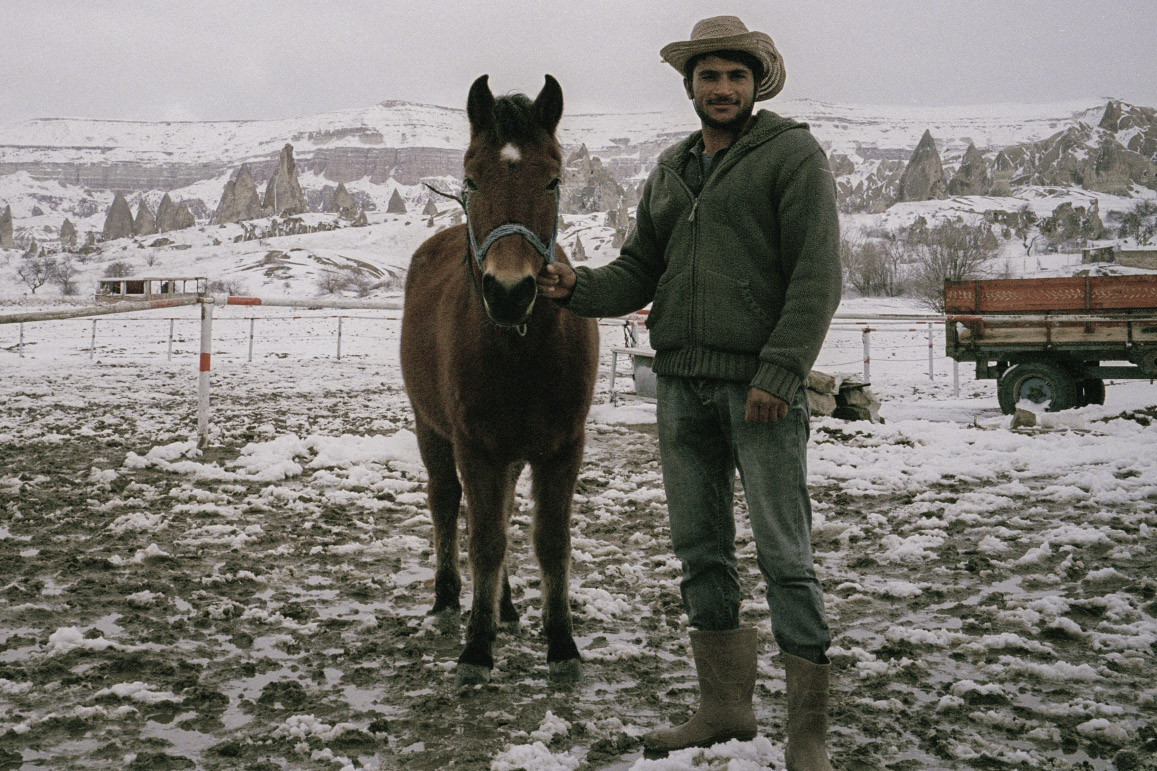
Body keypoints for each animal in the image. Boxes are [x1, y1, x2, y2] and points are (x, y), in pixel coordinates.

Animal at [399, 74, 599, 687]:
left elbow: (550, 541)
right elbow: (485, 539)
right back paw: (449, 601)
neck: (520, 347)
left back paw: (506, 607)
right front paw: (476, 648)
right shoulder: (476, 445)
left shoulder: (562, 447)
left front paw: (561, 642)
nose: (509, 292)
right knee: (446, 501)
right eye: (472, 177)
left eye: (553, 178)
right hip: (432, 430)